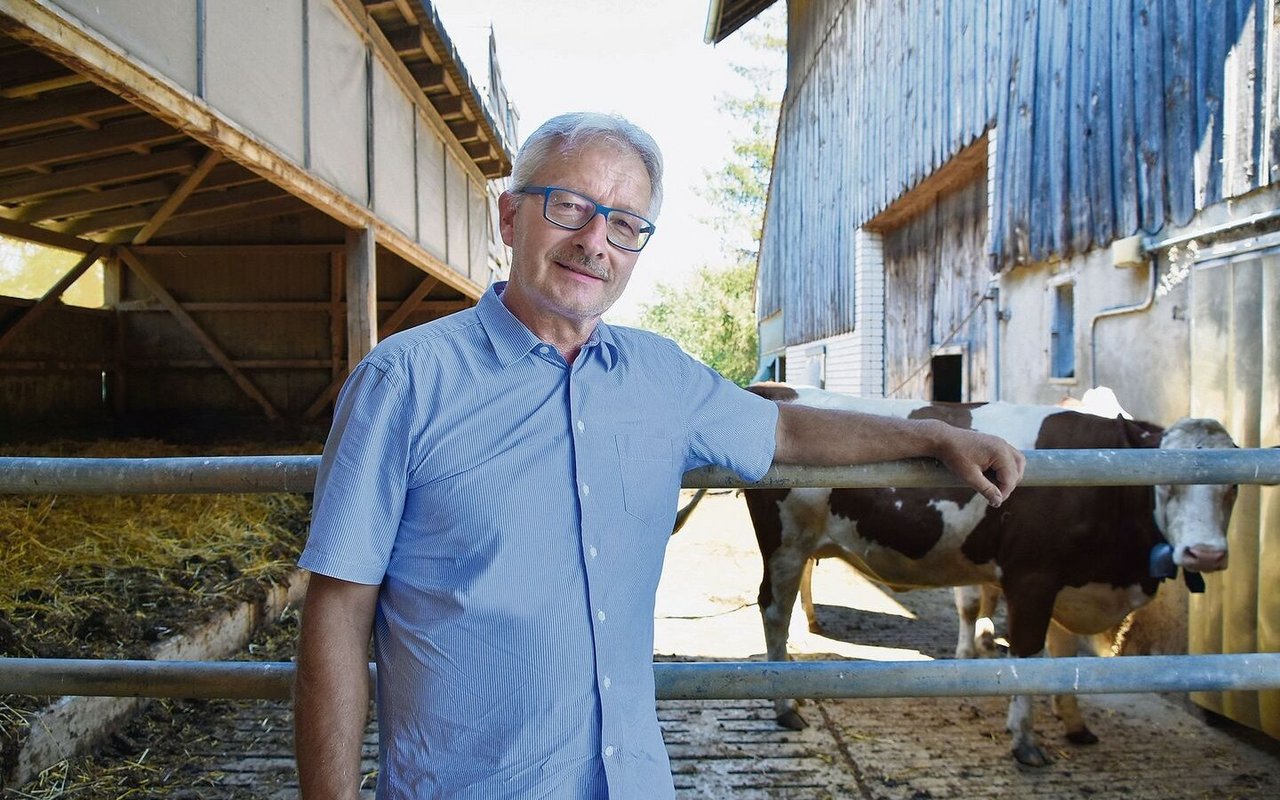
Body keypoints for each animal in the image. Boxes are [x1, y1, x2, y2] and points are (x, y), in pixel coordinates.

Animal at [747, 384, 1233, 762]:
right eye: (1166, 484)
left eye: (1231, 486)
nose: (1206, 554)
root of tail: (774, 390)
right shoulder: (1032, 579)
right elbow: (1028, 656)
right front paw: (1025, 741)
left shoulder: (1067, 583)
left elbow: (1064, 657)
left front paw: (1075, 724)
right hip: (786, 545)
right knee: (774, 613)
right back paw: (785, 706)